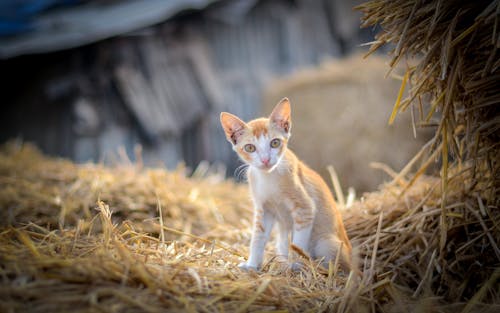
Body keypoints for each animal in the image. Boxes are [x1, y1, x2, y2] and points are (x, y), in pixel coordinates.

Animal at [219, 97, 352, 270]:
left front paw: (295, 265)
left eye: (275, 143)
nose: (265, 160)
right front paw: (252, 265)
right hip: (282, 239)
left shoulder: (305, 209)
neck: (269, 177)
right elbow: (258, 238)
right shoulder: (264, 209)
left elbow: (298, 243)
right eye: (250, 148)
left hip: (326, 243)